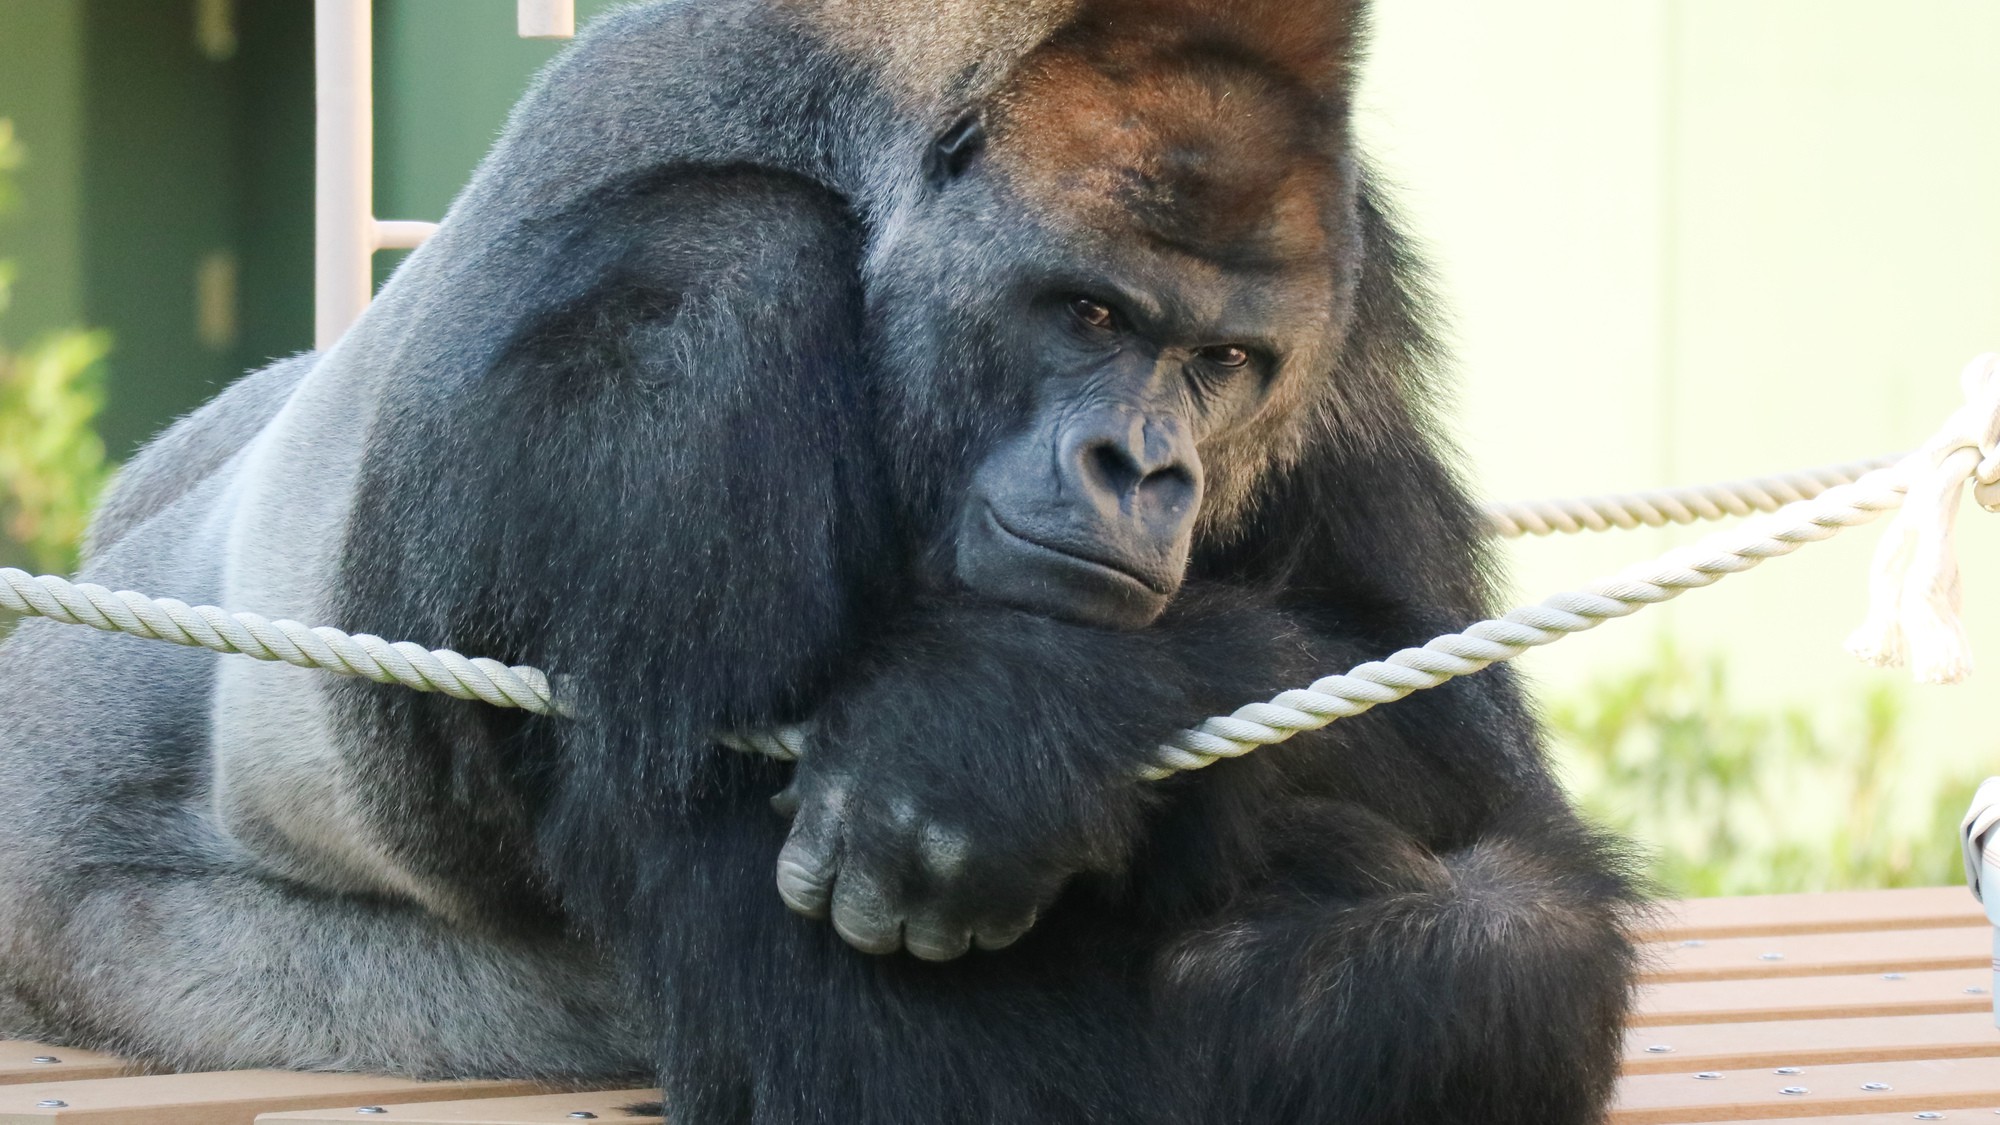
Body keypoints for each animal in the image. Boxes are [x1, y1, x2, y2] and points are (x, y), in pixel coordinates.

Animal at [0, 0, 1640, 1112]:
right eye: (1088, 312)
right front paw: (1001, 726)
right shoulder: (686, 317)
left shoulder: (1351, 303)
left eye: (1225, 361)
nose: (1142, 468)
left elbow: (1459, 751)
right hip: (112, 928)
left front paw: (1011, 726)